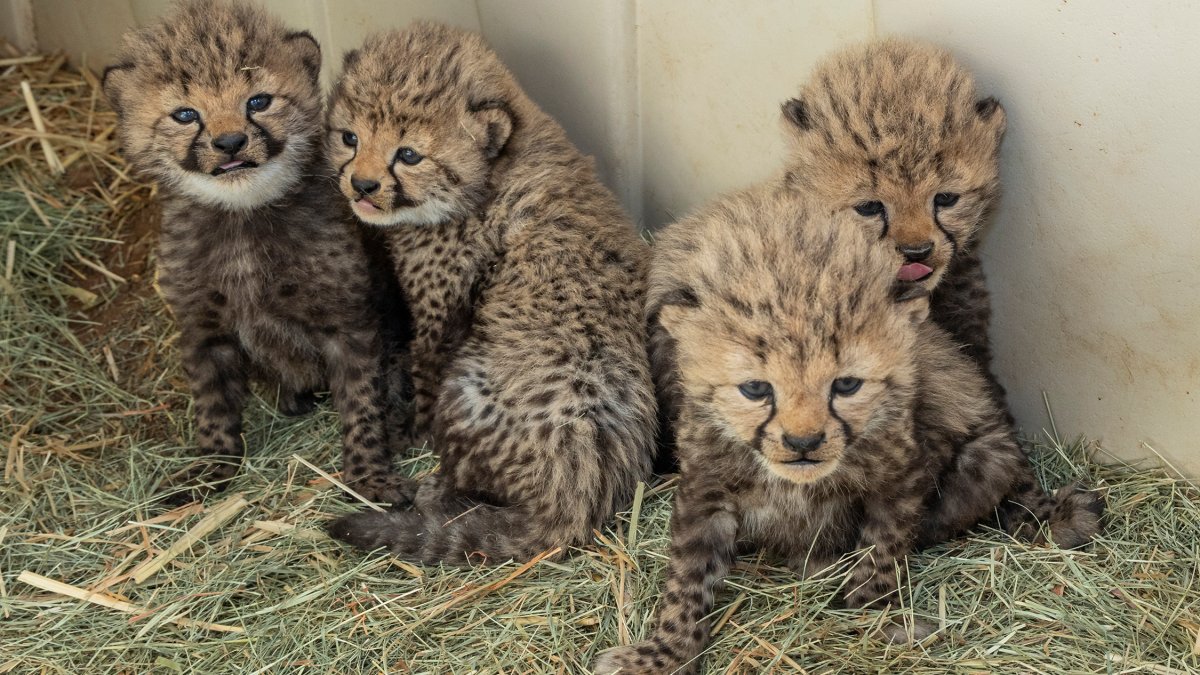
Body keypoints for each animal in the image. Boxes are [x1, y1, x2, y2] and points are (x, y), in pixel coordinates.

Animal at [102, 0, 414, 504]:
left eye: (257, 102)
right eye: (185, 114)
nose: (230, 143)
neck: (242, 218)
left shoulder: (349, 325)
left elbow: (363, 405)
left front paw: (369, 477)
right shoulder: (204, 328)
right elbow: (212, 405)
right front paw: (210, 469)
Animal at [322, 22, 657, 564]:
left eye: (408, 154)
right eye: (349, 138)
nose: (362, 186)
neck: (493, 172)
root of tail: (576, 500)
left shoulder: (440, 315)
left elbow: (424, 375)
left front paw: (408, 432)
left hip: (467, 390)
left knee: (460, 477)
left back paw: (430, 490)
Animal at [594, 187, 1103, 674]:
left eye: (846, 384)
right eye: (756, 388)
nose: (803, 443)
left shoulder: (902, 477)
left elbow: (883, 550)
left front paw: (874, 616)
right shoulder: (706, 489)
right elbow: (687, 581)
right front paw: (664, 653)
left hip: (989, 456)